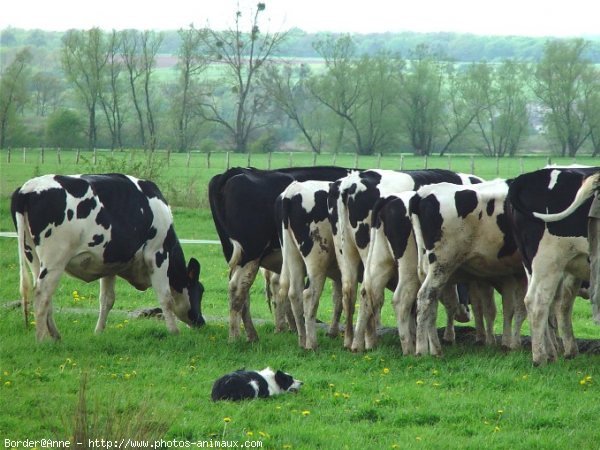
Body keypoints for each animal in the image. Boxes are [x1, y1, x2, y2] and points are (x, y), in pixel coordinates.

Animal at [10, 173, 204, 342]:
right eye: (200, 290)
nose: (201, 322)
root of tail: (28, 188)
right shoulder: (157, 255)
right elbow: (166, 298)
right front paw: (174, 332)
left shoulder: (109, 263)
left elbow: (107, 300)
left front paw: (99, 332)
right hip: (54, 259)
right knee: (42, 294)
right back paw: (41, 339)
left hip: (32, 256)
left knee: (44, 295)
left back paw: (56, 335)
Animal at [207, 166, 352, 342]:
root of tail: (237, 171)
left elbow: (338, 298)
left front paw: (332, 332)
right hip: (251, 253)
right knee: (238, 288)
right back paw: (235, 337)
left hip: (239, 257)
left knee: (244, 293)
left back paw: (253, 335)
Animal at [328, 169, 478, 348]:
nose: (465, 315)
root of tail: (349, 183)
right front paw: (445, 336)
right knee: (370, 291)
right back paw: (370, 340)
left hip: (345, 253)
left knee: (349, 292)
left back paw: (350, 340)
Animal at [408, 178, 528, 356]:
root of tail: (424, 193)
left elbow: (513, 308)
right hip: (442, 263)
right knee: (425, 297)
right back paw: (422, 350)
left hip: (428, 267)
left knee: (432, 302)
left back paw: (435, 348)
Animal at [506, 167, 600, 364]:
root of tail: (527, 177)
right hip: (548, 261)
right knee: (538, 302)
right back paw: (540, 358)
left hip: (533, 266)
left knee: (552, 305)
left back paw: (553, 353)